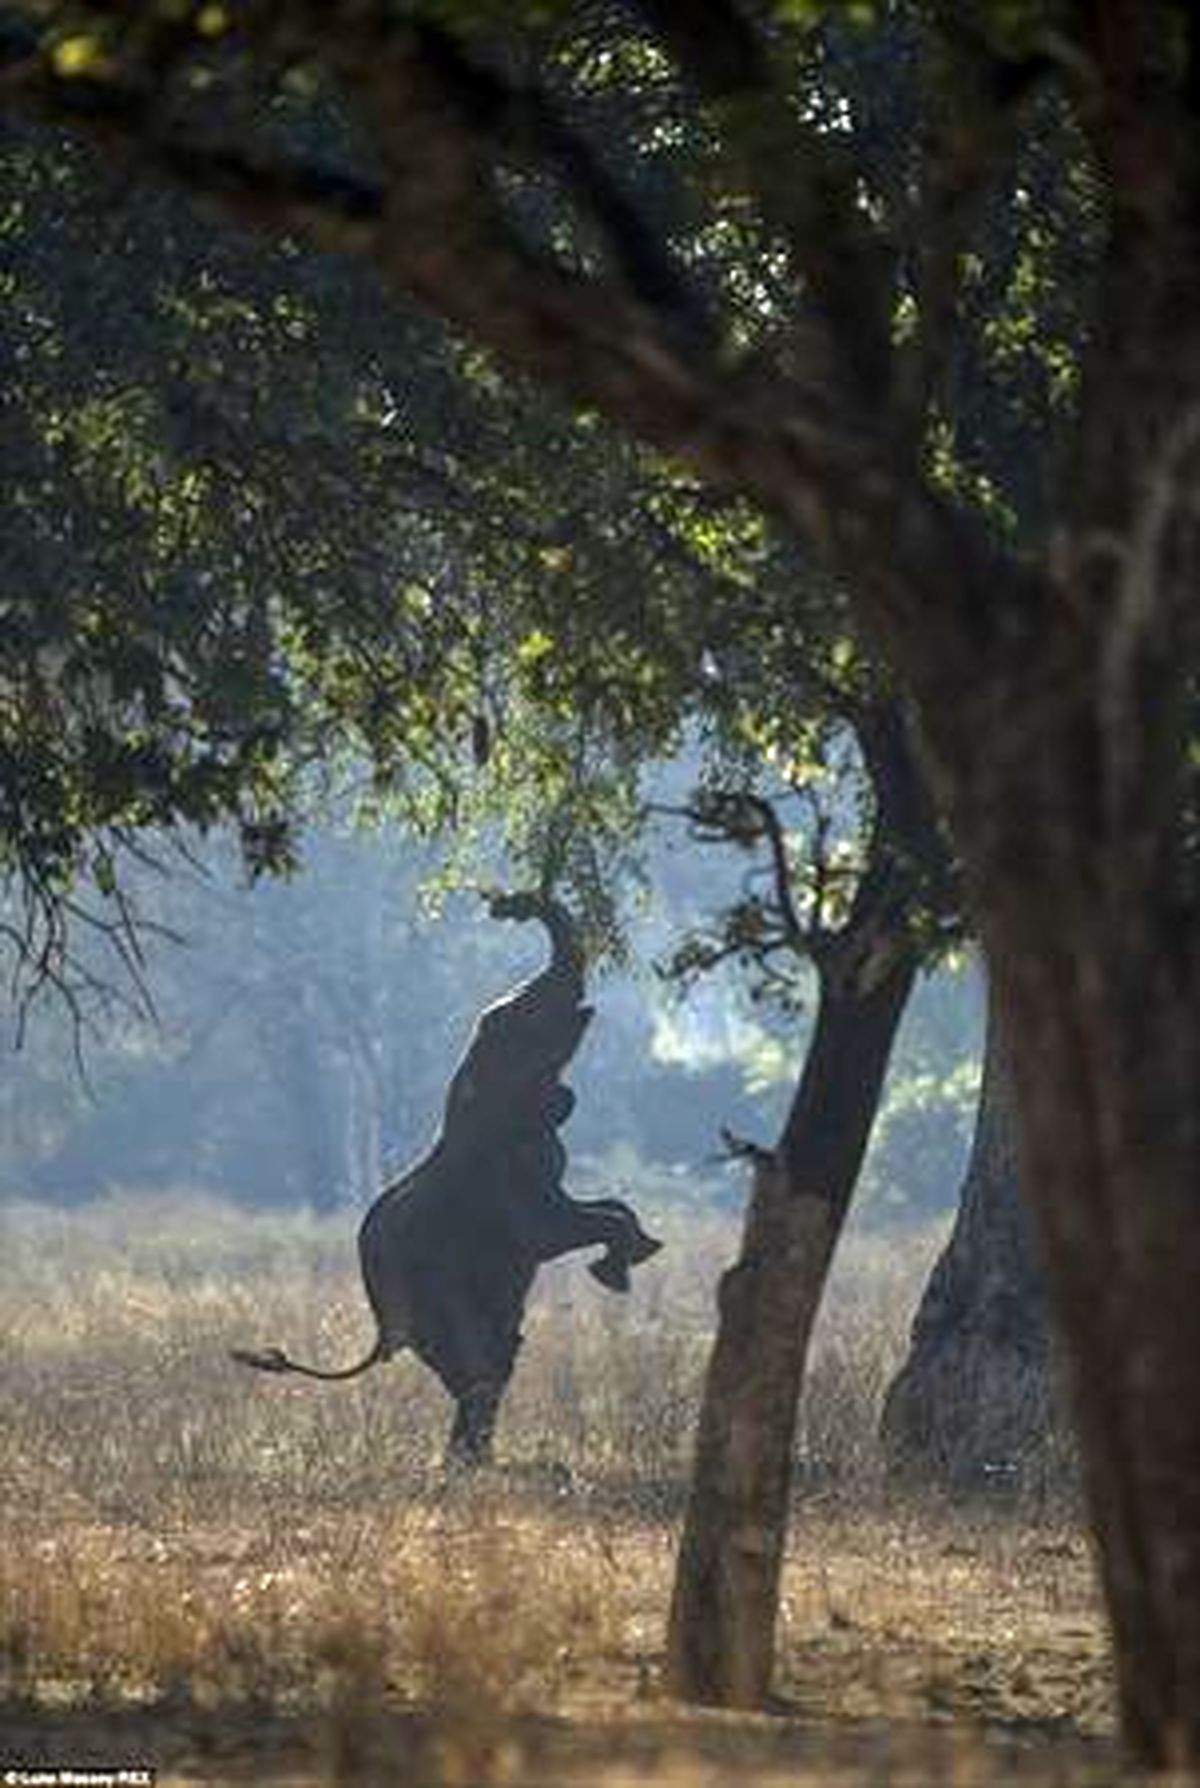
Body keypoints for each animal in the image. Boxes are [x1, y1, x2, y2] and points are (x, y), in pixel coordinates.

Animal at [230, 894, 661, 1466]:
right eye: (512, 1022)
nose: (510, 906)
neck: (471, 1092)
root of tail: (379, 1329)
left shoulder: (541, 1151)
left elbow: (591, 1206)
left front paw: (642, 1248)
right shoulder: (500, 1177)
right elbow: (550, 1231)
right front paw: (616, 1271)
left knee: (497, 1358)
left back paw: (477, 1461)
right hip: (427, 1292)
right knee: (477, 1364)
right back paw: (468, 1465)